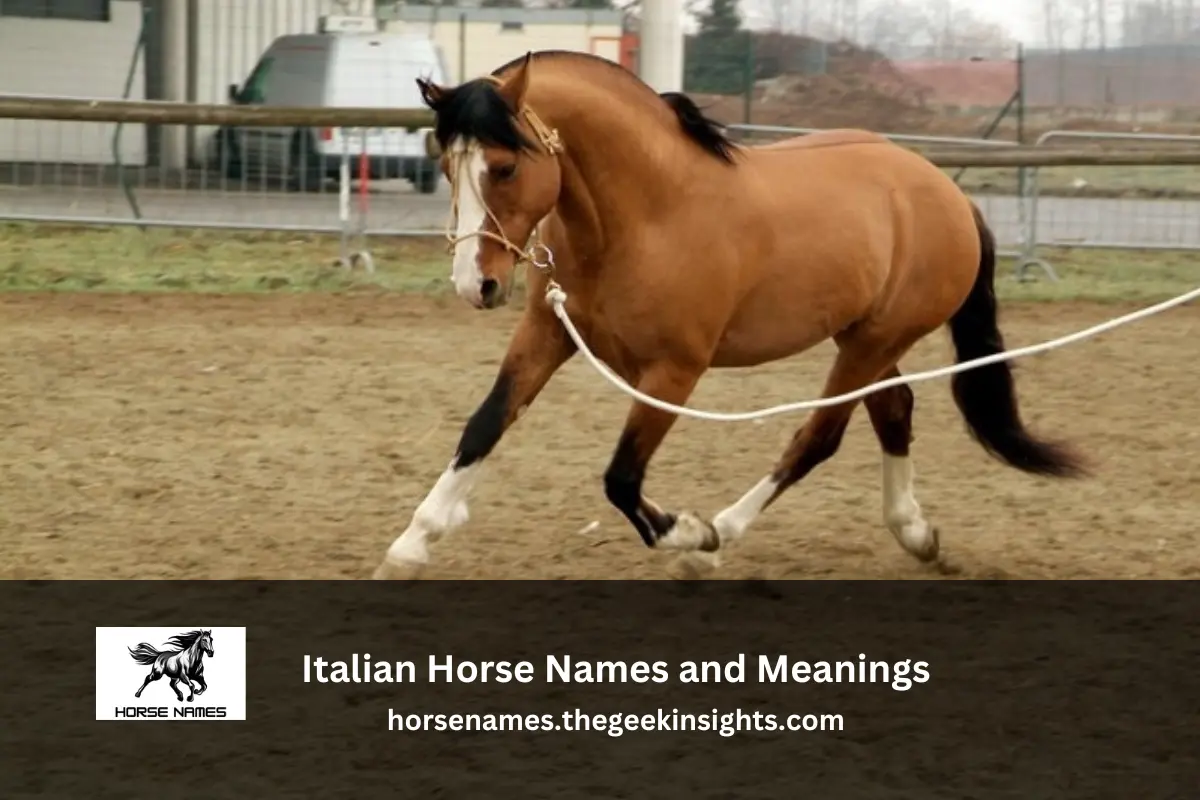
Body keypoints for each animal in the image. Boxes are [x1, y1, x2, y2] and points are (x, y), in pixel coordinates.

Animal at [372, 50, 1086, 580]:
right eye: (447, 165)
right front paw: (411, 544)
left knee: (817, 439)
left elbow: (621, 478)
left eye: (504, 166)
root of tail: (946, 192)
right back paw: (916, 534)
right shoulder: (548, 333)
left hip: (874, 341)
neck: (648, 215)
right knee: (895, 409)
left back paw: (721, 535)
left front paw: (689, 534)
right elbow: (484, 425)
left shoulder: (674, 371)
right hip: (861, 338)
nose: (477, 284)